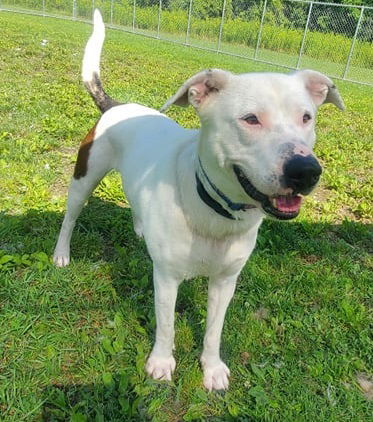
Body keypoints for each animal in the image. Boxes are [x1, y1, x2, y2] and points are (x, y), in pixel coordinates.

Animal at [52, 9, 342, 390]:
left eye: (306, 117)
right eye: (250, 119)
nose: (306, 170)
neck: (216, 212)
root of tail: (115, 105)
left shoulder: (225, 281)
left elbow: (214, 331)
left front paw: (212, 368)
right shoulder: (166, 278)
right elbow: (166, 326)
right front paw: (161, 363)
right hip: (83, 179)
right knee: (70, 217)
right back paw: (61, 253)